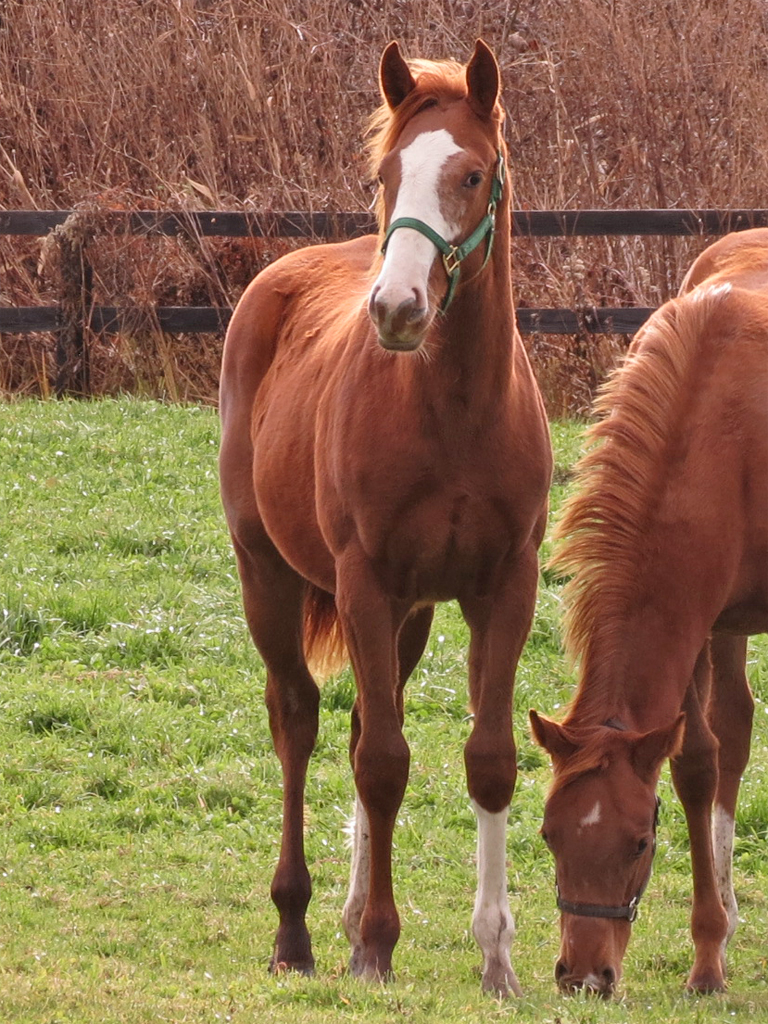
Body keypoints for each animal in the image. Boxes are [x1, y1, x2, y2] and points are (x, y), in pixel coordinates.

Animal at [221, 44, 552, 995]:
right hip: (268, 576)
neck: (456, 414)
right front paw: (375, 945)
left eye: (472, 174)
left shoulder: (503, 589)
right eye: (387, 174)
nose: (397, 308)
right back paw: (297, 930)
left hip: (409, 615)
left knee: (367, 718)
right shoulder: (363, 583)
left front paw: (496, 956)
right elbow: (382, 764)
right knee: (298, 719)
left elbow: (487, 759)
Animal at [528, 228, 768, 995]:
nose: (584, 975)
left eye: (639, 842)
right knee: (736, 727)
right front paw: (711, 951)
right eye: (550, 834)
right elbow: (697, 762)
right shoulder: (697, 623)